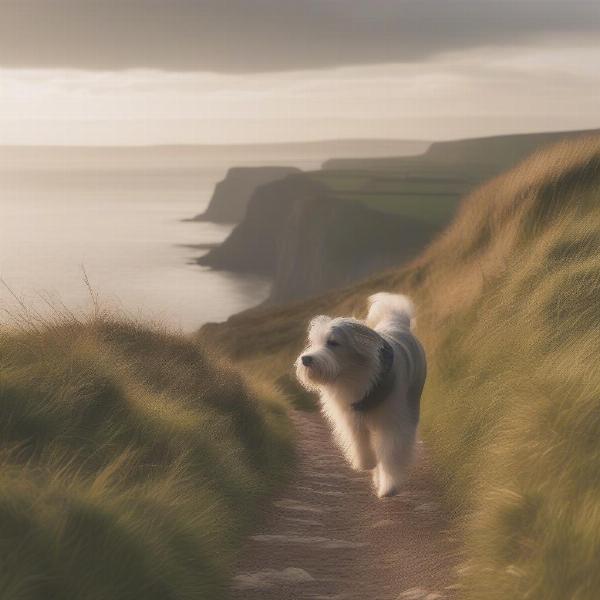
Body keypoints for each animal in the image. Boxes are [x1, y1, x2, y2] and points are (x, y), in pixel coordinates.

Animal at [296, 294, 426, 496]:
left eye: (333, 343)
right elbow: (360, 442)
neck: (353, 375)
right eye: (314, 342)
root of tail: (396, 321)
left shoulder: (394, 422)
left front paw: (388, 486)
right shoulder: (351, 416)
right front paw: (366, 463)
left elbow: (391, 454)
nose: (306, 359)